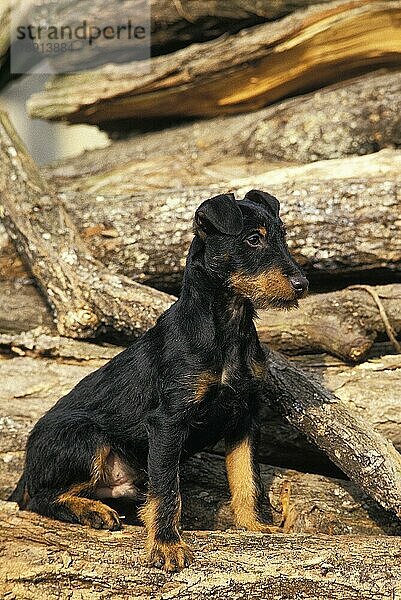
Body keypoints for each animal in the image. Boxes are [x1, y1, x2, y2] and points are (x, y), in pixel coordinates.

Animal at [10, 190, 308, 568]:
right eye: (253, 239)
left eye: (283, 237)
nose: (302, 286)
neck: (227, 328)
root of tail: (26, 465)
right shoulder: (168, 422)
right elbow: (168, 490)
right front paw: (166, 545)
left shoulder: (244, 418)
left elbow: (246, 478)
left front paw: (255, 526)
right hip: (85, 438)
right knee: (38, 498)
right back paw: (92, 511)